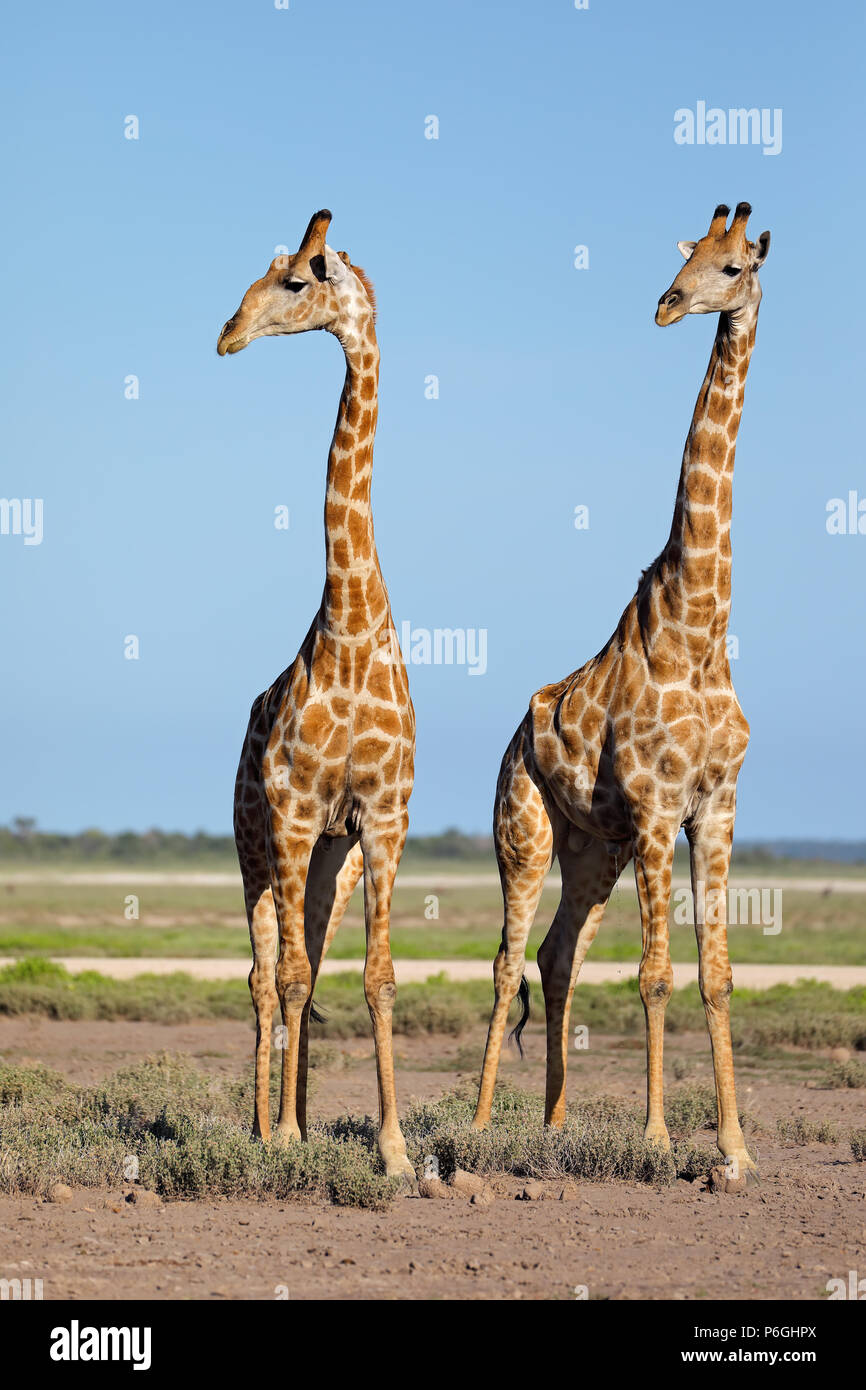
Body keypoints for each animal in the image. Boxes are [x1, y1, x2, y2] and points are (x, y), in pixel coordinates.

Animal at [473, 202, 771, 1177]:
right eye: (692, 256)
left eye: (735, 264)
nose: (668, 303)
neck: (698, 630)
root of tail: (512, 739)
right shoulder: (654, 808)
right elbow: (656, 975)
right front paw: (657, 1137)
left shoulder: (714, 807)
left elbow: (716, 975)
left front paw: (736, 1150)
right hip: (525, 833)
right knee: (507, 960)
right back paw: (481, 1126)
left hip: (590, 851)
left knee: (558, 956)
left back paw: (555, 1126)